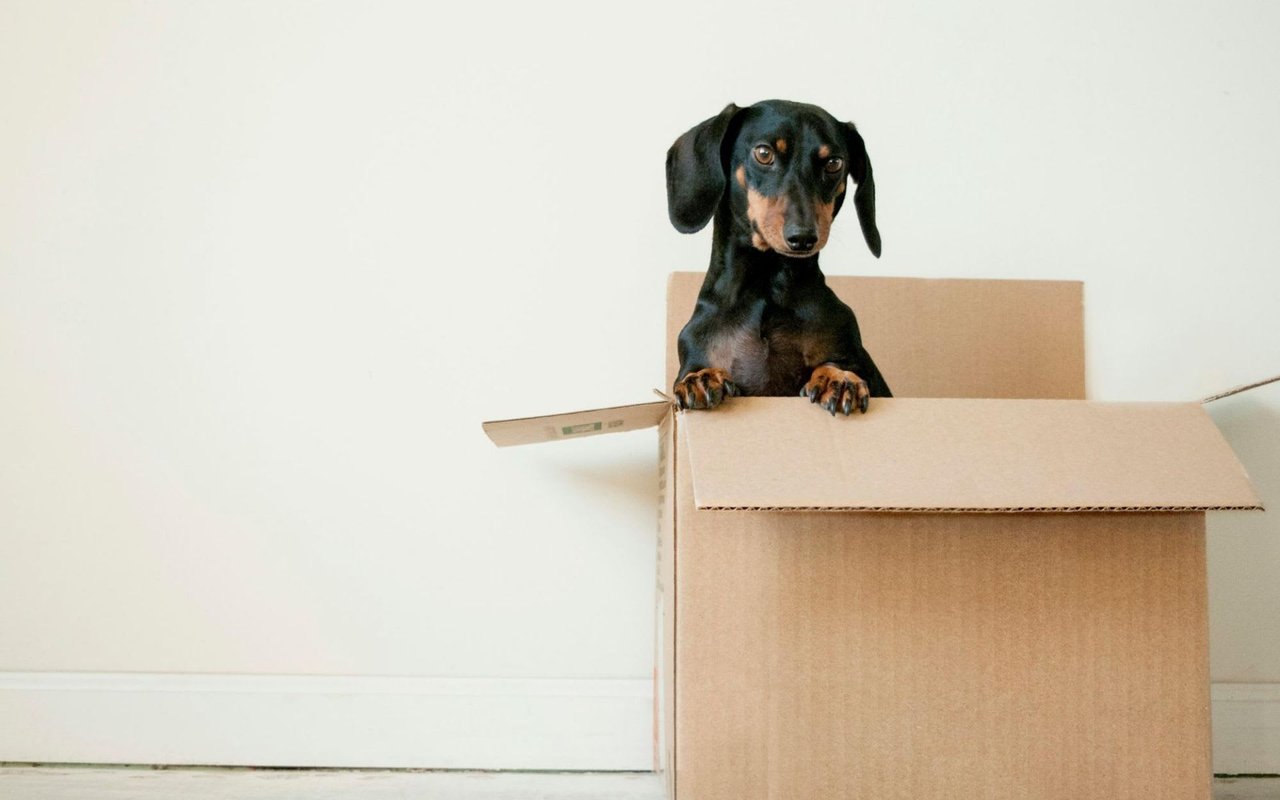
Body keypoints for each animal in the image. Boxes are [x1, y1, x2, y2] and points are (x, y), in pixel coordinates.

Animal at [670, 98, 890, 417]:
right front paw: (701, 378)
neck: (767, 287)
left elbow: (837, 364)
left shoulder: (853, 354)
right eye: (764, 153)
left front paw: (837, 378)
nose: (803, 237)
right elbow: (696, 371)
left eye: (834, 163)